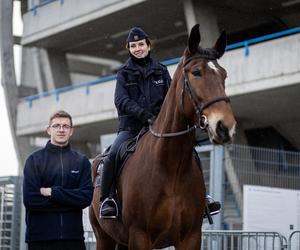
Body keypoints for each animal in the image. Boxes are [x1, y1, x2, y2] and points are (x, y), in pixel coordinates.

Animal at [89, 23, 237, 250]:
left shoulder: (191, 237)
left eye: (224, 75)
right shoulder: (140, 236)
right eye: (196, 72)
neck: (171, 167)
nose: (224, 126)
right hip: (103, 237)